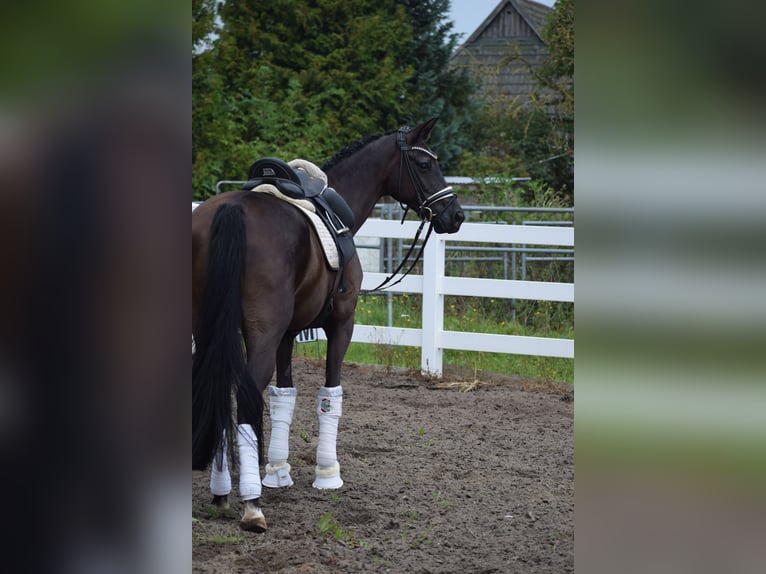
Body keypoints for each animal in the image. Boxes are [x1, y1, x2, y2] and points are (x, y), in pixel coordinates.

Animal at [192, 118, 468, 536]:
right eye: (424, 164)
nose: (455, 215)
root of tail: (230, 212)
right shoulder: (342, 323)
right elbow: (329, 395)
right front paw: (326, 472)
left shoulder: (287, 335)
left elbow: (284, 396)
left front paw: (278, 470)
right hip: (260, 334)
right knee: (246, 400)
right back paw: (251, 504)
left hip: (209, 330)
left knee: (218, 393)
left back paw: (223, 491)